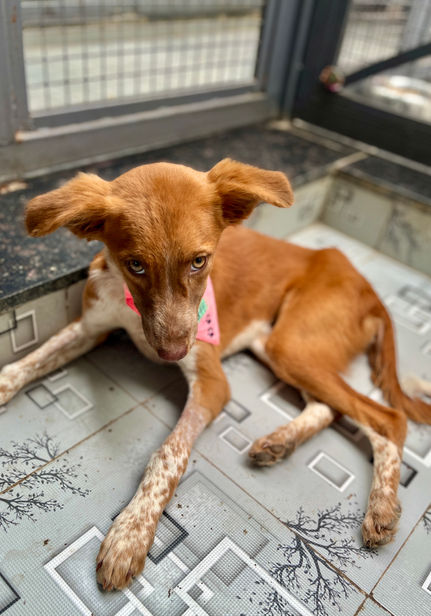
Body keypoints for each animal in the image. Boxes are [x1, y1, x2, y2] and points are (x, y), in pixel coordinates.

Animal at [0, 159, 430, 592]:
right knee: (329, 408)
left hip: (291, 345)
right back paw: (279, 442)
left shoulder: (212, 382)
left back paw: (380, 509)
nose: (172, 352)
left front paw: (130, 534)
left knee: (389, 419)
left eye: (199, 261)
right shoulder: (90, 328)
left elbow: (169, 454)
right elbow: (24, 364)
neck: (129, 307)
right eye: (135, 264)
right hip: (278, 345)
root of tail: (368, 287)